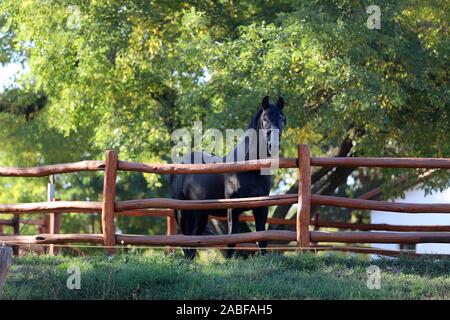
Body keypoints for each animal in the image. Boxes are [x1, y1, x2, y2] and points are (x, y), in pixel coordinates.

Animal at [171, 96, 286, 258]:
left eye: (282, 118)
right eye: (265, 119)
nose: (273, 146)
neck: (249, 167)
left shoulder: (261, 208)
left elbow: (262, 238)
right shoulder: (232, 208)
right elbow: (232, 238)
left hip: (200, 214)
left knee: (193, 241)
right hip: (182, 212)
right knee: (184, 240)